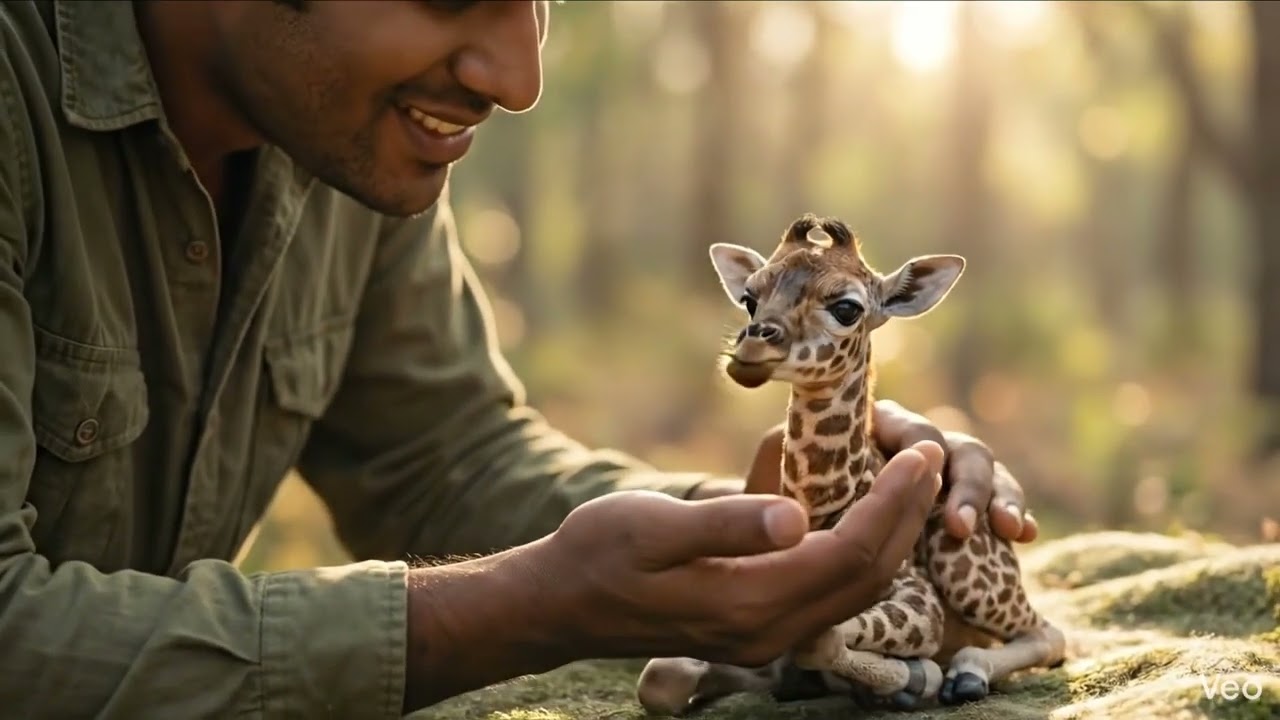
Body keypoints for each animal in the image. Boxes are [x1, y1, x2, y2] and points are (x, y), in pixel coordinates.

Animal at [636, 214, 1066, 715]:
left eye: (846, 308)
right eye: (749, 298)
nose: (751, 347)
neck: (822, 502)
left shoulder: (917, 595)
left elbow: (823, 638)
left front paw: (916, 677)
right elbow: (661, 676)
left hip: (965, 566)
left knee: (1048, 632)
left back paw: (964, 674)